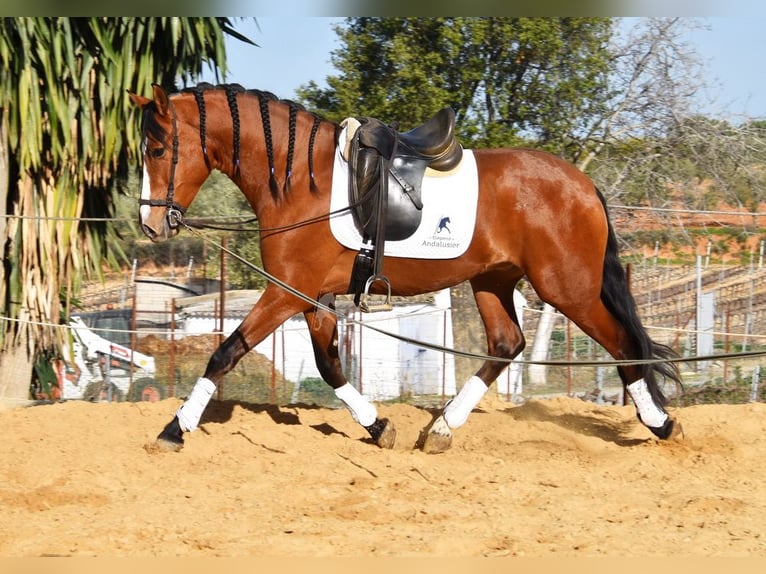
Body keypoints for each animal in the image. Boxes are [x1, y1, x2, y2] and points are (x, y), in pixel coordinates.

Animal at [128, 82, 682, 454]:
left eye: (157, 149)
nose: (151, 224)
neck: (300, 181)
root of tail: (582, 185)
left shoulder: (285, 292)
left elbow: (224, 354)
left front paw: (174, 429)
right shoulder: (314, 296)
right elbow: (330, 368)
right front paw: (378, 427)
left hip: (567, 289)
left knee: (623, 344)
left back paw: (661, 423)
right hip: (492, 281)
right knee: (507, 345)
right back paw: (440, 429)